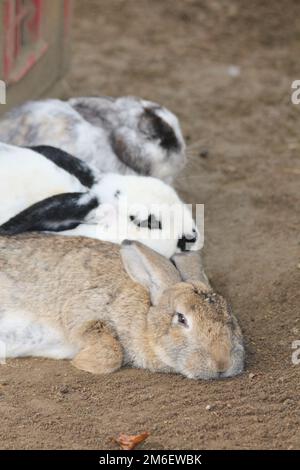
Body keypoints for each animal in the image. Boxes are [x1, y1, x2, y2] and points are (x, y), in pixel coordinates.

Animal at [0, 233, 245, 380]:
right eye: (181, 318)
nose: (222, 363)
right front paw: (81, 362)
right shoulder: (84, 310)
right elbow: (111, 353)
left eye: (229, 316)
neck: (145, 316)